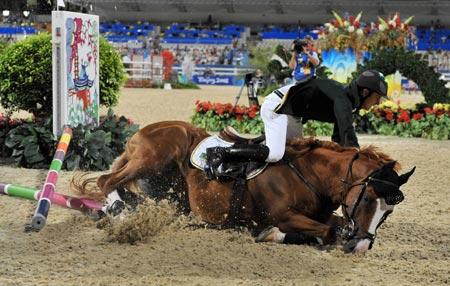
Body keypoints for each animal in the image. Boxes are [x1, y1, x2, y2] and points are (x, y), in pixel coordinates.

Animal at [74, 120, 414, 252]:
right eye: (368, 200)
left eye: (387, 212)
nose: (362, 248)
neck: (308, 175)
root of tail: (139, 132)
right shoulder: (283, 215)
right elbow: (329, 231)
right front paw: (273, 235)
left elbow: (334, 225)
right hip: (157, 154)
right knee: (106, 181)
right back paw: (120, 214)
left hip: (170, 189)